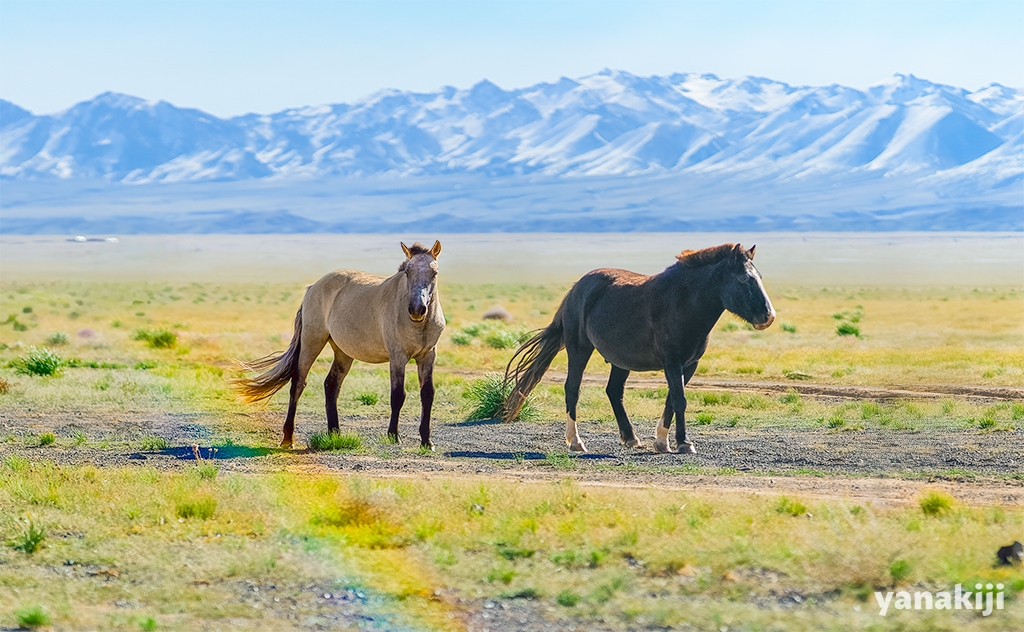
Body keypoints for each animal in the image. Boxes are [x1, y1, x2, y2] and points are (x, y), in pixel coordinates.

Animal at [233, 241, 445, 449]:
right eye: (408, 272)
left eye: (434, 273)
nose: (417, 309)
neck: (418, 324)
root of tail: (313, 287)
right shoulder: (398, 357)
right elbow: (398, 395)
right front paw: (394, 436)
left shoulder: (428, 356)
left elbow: (427, 394)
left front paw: (427, 441)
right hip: (312, 341)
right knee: (298, 384)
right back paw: (287, 438)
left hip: (343, 353)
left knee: (331, 384)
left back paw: (334, 433)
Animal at [502, 243, 774, 454]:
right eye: (744, 279)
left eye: (760, 277)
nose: (768, 316)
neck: (683, 302)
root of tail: (576, 289)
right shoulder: (672, 362)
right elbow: (680, 400)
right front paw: (684, 443)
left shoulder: (689, 364)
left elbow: (671, 400)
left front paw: (662, 442)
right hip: (579, 349)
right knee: (572, 389)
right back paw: (576, 442)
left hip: (620, 362)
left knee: (613, 391)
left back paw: (630, 437)